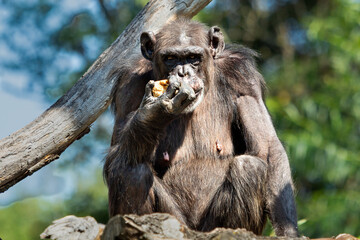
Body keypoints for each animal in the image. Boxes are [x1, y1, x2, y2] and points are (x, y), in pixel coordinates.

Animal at [103, 17, 298, 237]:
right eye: (170, 58)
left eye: (193, 57)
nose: (182, 72)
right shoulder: (128, 83)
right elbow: (116, 153)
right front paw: (152, 113)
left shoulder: (242, 76)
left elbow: (268, 147)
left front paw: (288, 232)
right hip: (175, 221)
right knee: (130, 169)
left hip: (209, 227)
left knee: (249, 167)